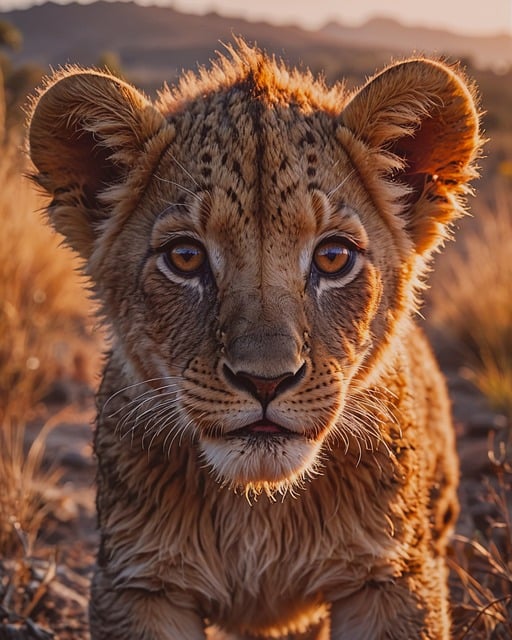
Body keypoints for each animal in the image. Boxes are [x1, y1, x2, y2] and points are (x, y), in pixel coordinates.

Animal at [28, 41, 481, 639]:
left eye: (333, 257)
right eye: (185, 257)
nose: (265, 381)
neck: (259, 507)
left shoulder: (391, 574)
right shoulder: (139, 581)